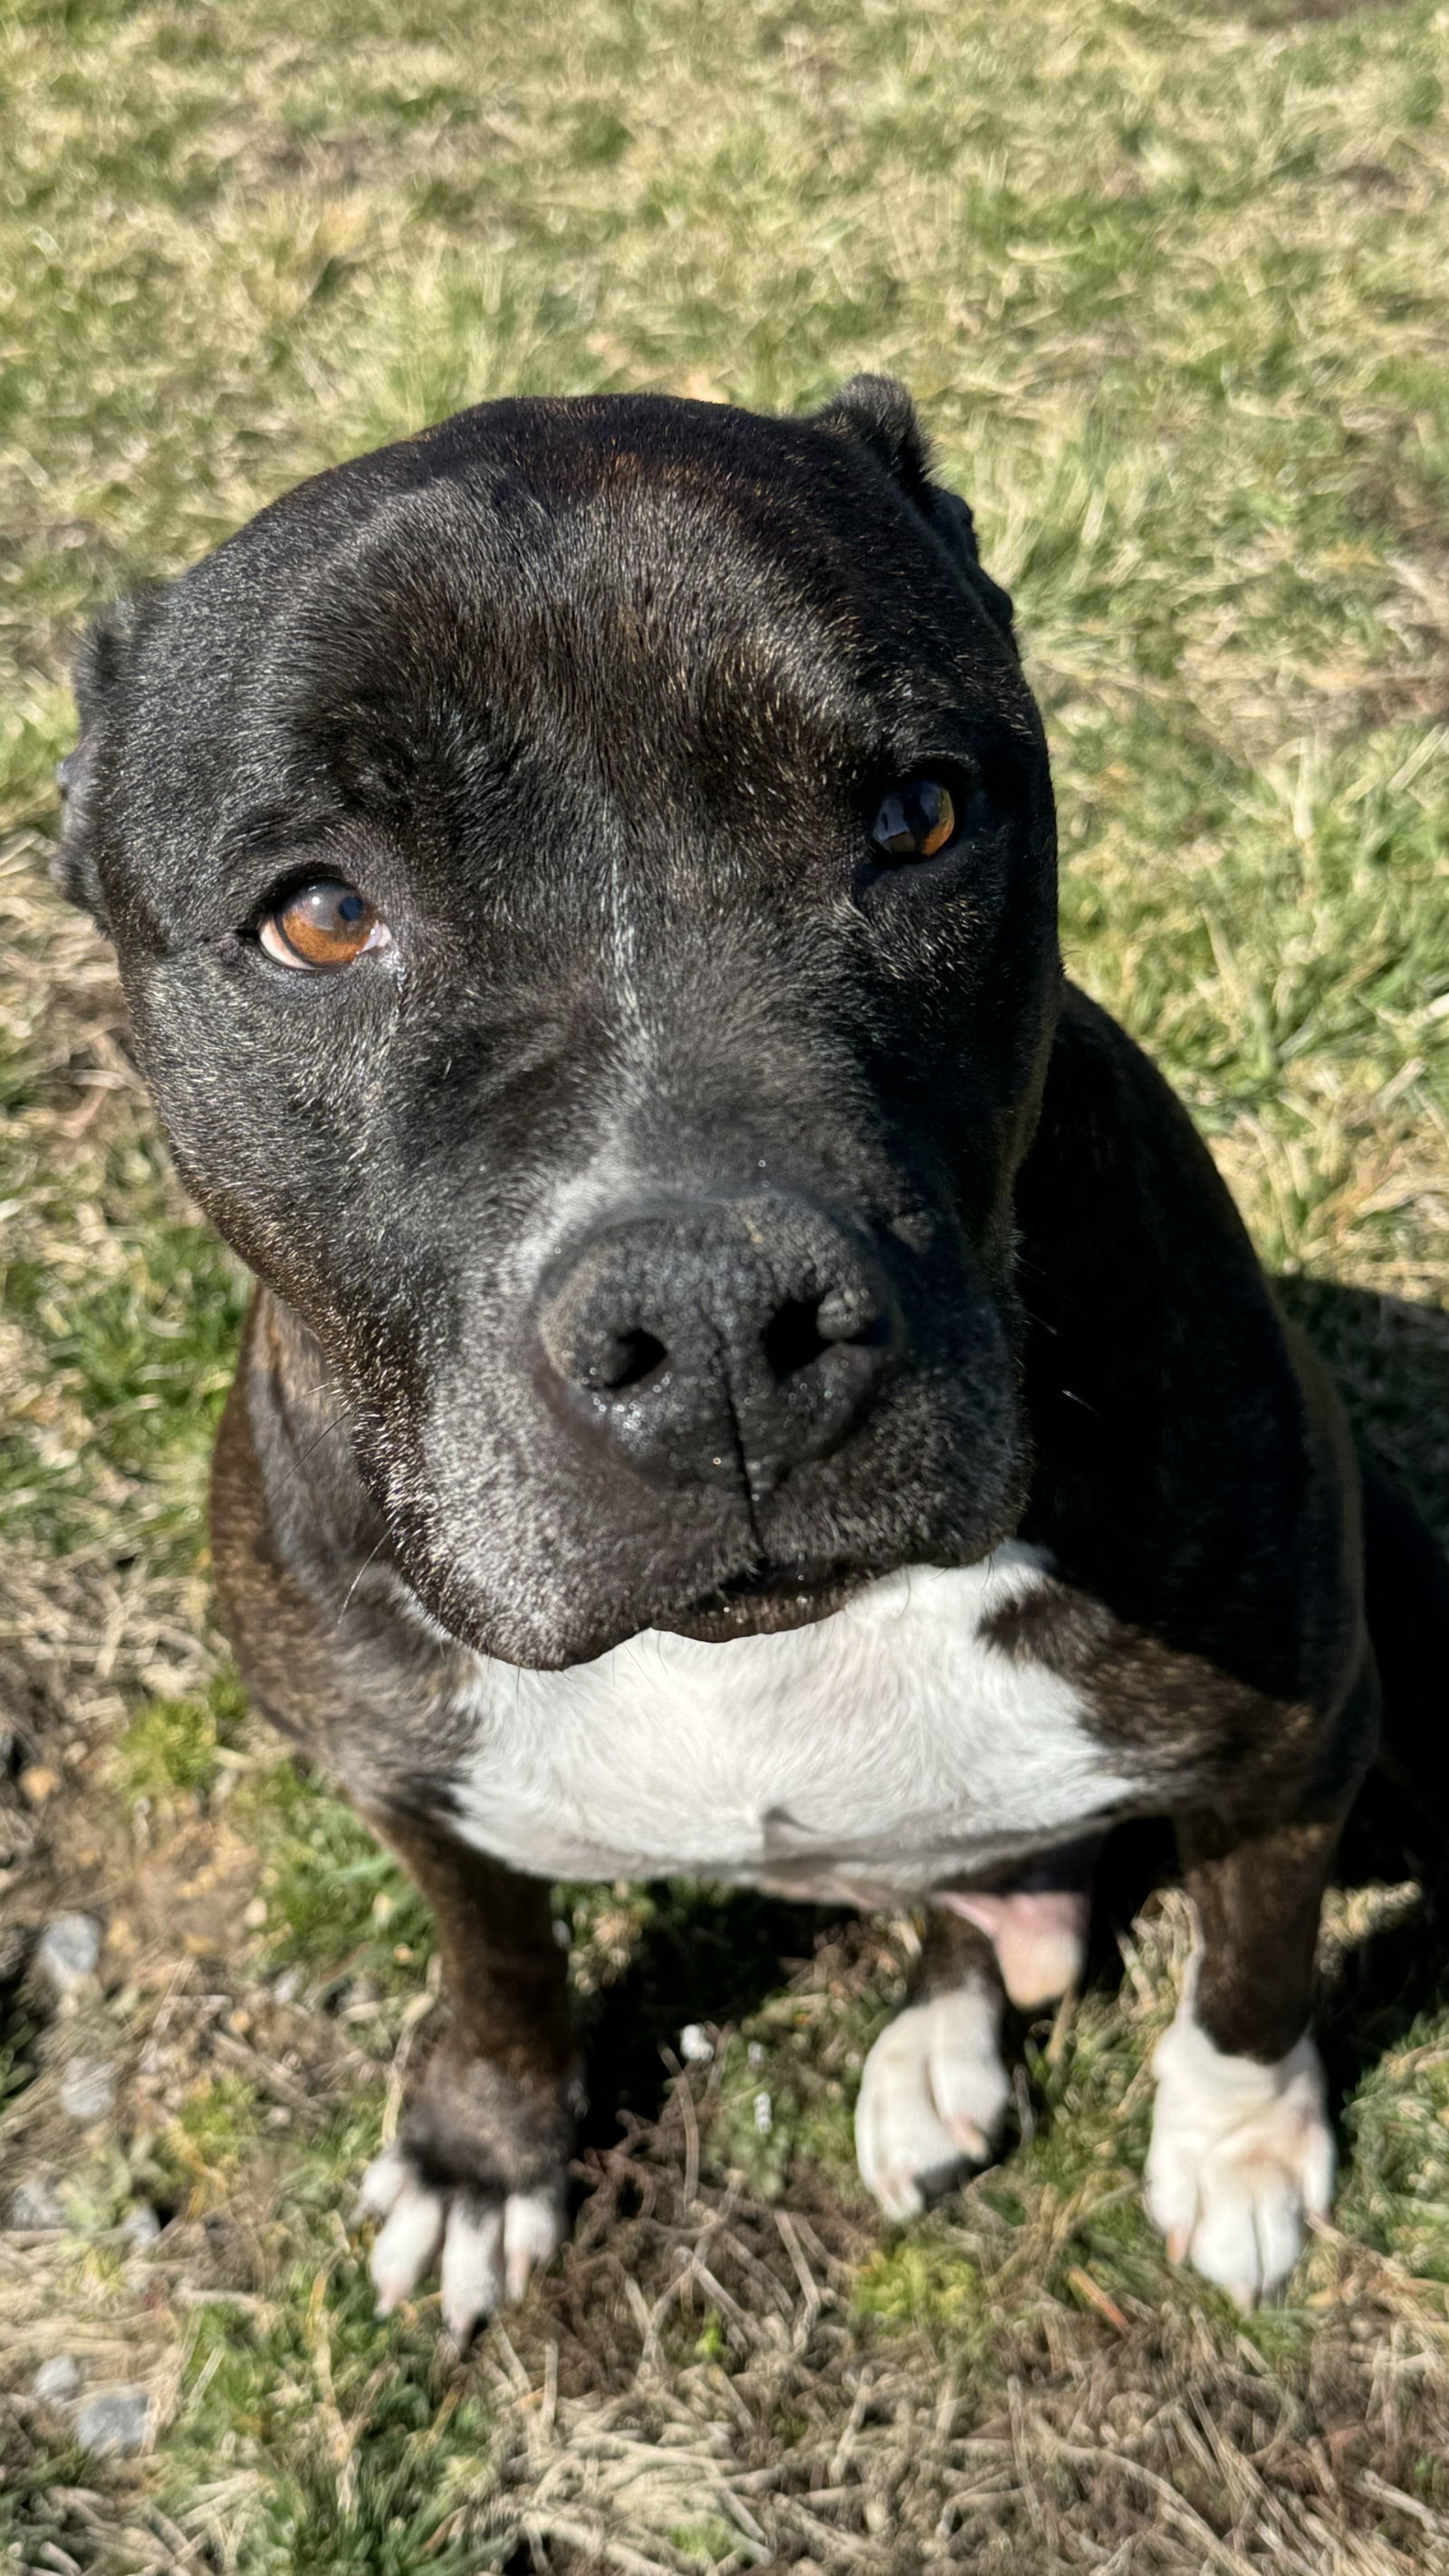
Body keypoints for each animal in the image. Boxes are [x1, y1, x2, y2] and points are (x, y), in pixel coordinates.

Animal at [56, 376, 1449, 2339]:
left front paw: (1238, 2142)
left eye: (920, 816)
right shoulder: (403, 1772)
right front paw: (481, 2149)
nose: (717, 1325)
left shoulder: (1292, 1743)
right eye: (317, 915)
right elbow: (492, 1954)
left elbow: (1251, 1972)